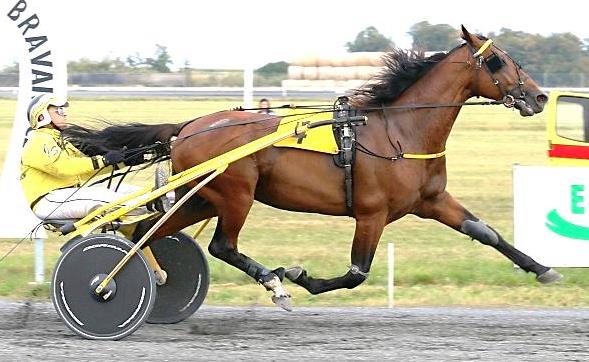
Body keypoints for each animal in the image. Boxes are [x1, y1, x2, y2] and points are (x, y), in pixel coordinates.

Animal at [64, 26, 560, 308]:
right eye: (497, 61)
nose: (538, 96)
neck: (399, 130)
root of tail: (186, 126)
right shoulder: (372, 213)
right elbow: (357, 273)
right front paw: (299, 276)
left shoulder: (432, 200)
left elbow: (486, 233)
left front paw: (543, 269)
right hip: (236, 194)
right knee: (222, 246)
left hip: (203, 197)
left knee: (141, 232)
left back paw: (153, 278)